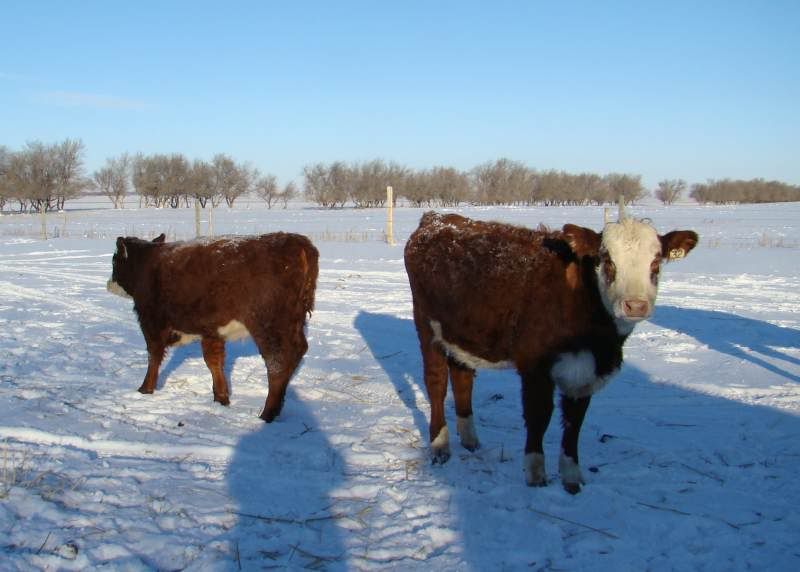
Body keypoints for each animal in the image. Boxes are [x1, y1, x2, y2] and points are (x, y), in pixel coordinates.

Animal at [107, 232, 319, 422]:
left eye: (114, 261)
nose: (109, 284)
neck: (147, 263)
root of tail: (298, 242)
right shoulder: (211, 331)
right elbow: (214, 361)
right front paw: (221, 398)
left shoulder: (151, 322)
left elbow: (154, 357)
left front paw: (145, 389)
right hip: (293, 322)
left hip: (268, 327)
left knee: (278, 363)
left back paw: (267, 413)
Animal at [404, 211, 698, 493]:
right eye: (607, 260)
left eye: (656, 262)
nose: (635, 305)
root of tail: (437, 218)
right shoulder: (535, 367)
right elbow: (539, 416)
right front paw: (536, 474)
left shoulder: (584, 373)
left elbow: (574, 423)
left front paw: (571, 477)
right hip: (427, 327)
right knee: (436, 384)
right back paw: (440, 444)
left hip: (463, 334)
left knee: (462, 379)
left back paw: (469, 439)